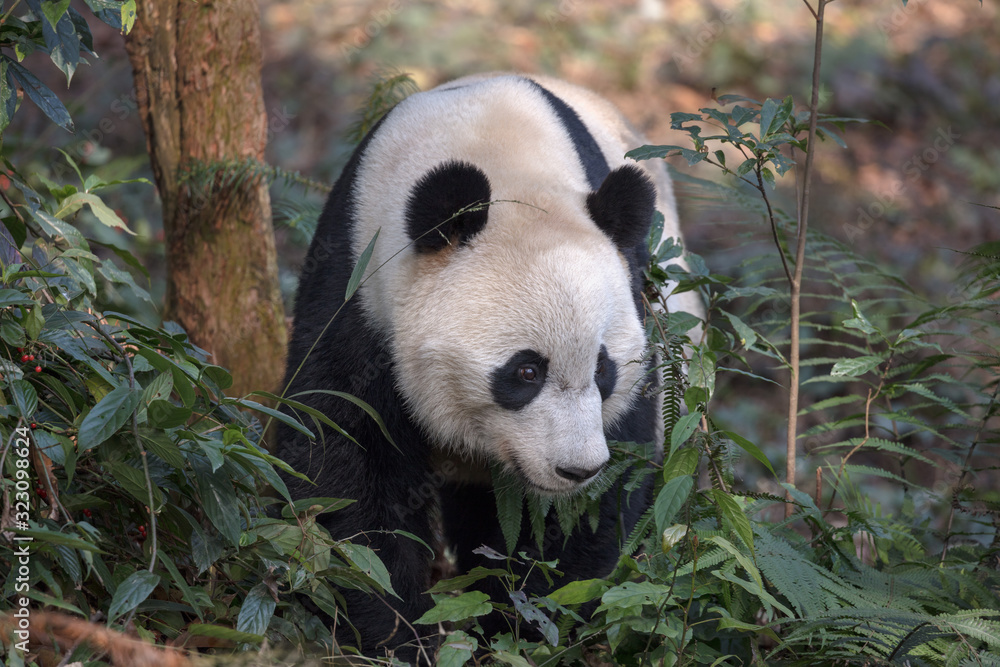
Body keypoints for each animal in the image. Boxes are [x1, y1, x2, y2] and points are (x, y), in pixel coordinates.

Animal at [277, 73, 702, 660]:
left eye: (603, 369)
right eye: (526, 372)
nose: (576, 470)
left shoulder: (632, 300)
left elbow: (605, 490)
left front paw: (521, 629)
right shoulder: (356, 284)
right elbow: (345, 456)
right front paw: (399, 635)